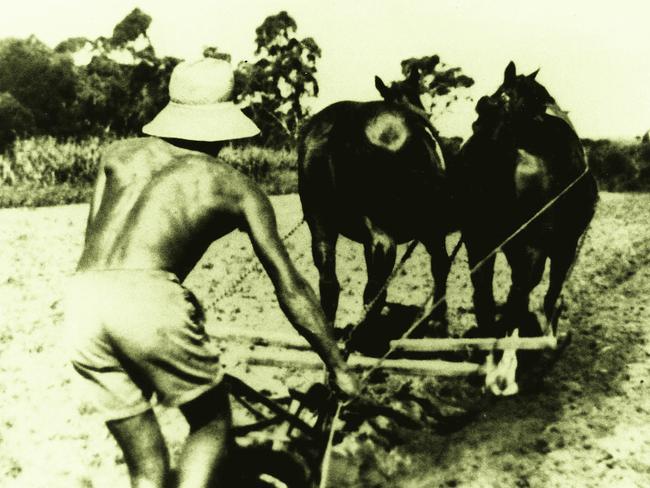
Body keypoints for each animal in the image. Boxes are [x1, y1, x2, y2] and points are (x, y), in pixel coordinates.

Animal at [298, 73, 450, 340]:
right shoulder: (433, 228)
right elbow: (440, 266)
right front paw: (437, 321)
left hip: (320, 220)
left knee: (329, 279)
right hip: (383, 229)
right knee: (375, 288)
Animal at [450, 61, 596, 338]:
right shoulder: (564, 245)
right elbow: (552, 291)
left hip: (478, 240)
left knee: (484, 290)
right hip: (533, 247)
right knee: (521, 288)